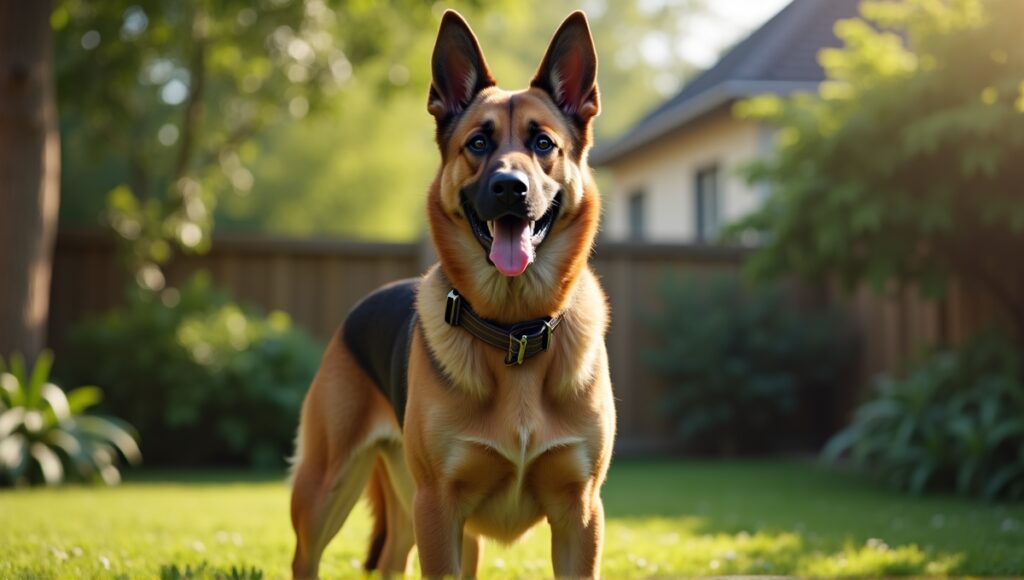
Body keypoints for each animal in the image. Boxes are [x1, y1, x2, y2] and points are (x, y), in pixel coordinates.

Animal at [288, 10, 610, 580]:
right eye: (478, 144)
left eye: (543, 144)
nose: (509, 188)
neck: (515, 331)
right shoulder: (438, 508)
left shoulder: (581, 514)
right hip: (326, 491)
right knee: (307, 557)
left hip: (438, 524)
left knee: (390, 562)